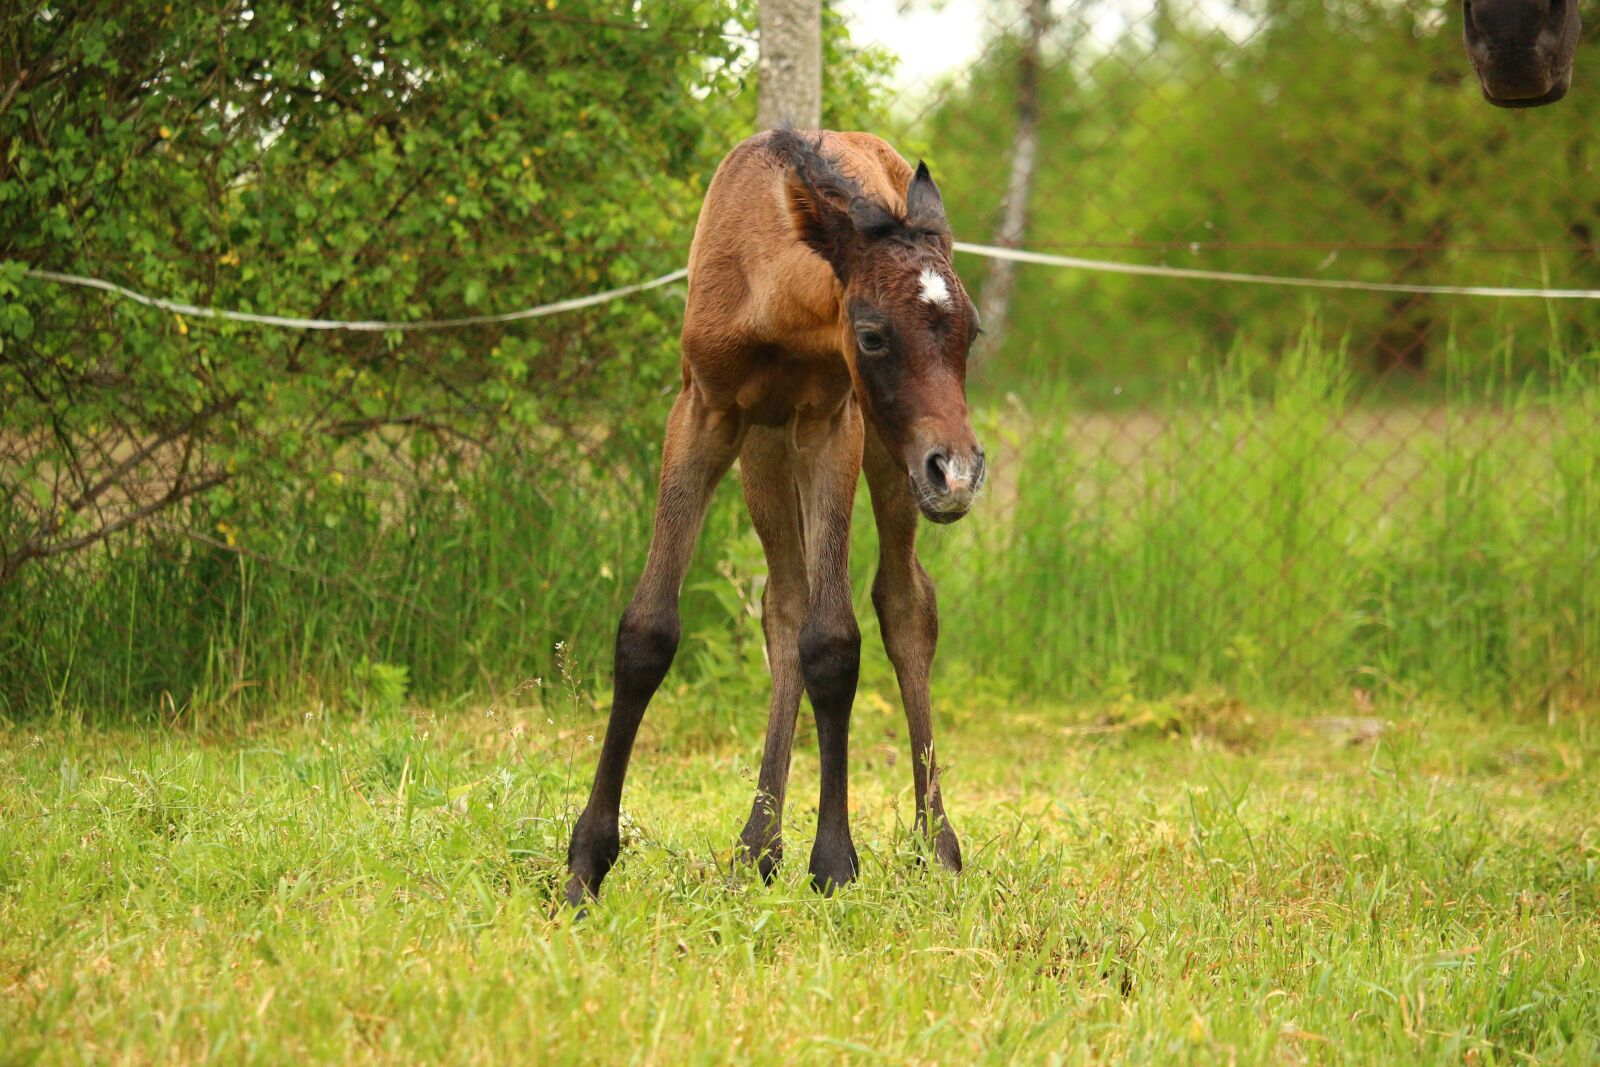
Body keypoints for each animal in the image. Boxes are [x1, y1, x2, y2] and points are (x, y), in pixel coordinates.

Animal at [564, 129, 984, 905]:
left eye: (971, 331)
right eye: (872, 334)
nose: (961, 472)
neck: (771, 301)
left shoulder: (833, 422)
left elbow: (835, 640)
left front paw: (835, 861)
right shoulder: (703, 411)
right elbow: (648, 630)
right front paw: (586, 863)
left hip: (886, 453)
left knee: (904, 602)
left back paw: (936, 846)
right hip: (767, 450)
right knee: (783, 604)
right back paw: (756, 847)